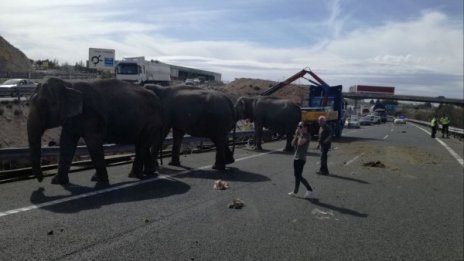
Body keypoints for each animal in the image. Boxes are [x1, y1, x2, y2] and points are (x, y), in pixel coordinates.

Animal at [27, 77, 163, 185]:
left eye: (43, 105)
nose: (41, 180)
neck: (68, 84)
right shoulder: (73, 117)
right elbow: (66, 142)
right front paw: (57, 182)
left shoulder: (90, 115)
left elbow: (93, 143)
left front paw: (101, 181)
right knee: (142, 145)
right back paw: (149, 172)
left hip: (151, 122)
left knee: (141, 146)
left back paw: (134, 175)